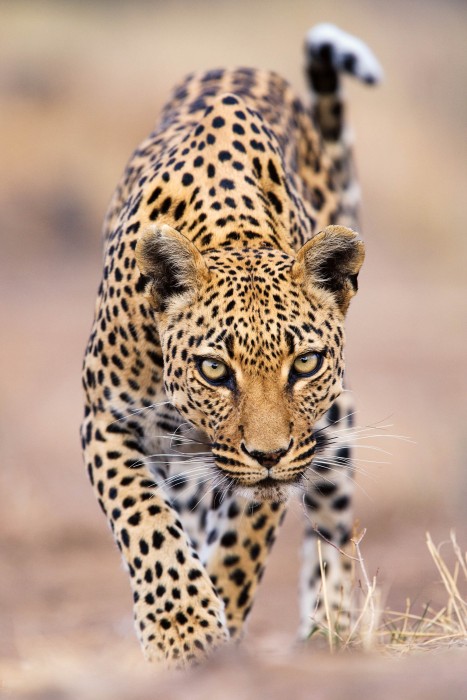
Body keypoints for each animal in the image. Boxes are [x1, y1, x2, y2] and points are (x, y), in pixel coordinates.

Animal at [81, 21, 384, 668]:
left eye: (305, 363)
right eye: (215, 370)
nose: (267, 454)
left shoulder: (287, 455)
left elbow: (243, 540)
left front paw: (217, 620)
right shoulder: (106, 418)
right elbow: (147, 524)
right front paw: (184, 632)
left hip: (335, 433)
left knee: (329, 532)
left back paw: (327, 636)